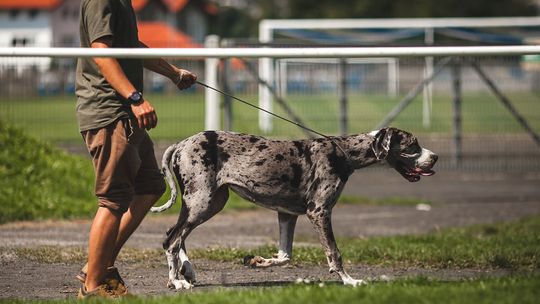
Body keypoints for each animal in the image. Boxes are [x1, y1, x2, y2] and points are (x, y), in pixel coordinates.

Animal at [150, 127, 436, 288]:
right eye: (412, 145)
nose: (435, 157)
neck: (342, 152)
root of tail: (180, 143)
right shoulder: (319, 212)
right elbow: (334, 253)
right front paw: (349, 280)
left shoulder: (287, 215)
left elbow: (285, 255)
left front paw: (258, 261)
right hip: (202, 202)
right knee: (172, 240)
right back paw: (176, 280)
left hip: (209, 203)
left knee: (174, 235)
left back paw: (187, 271)